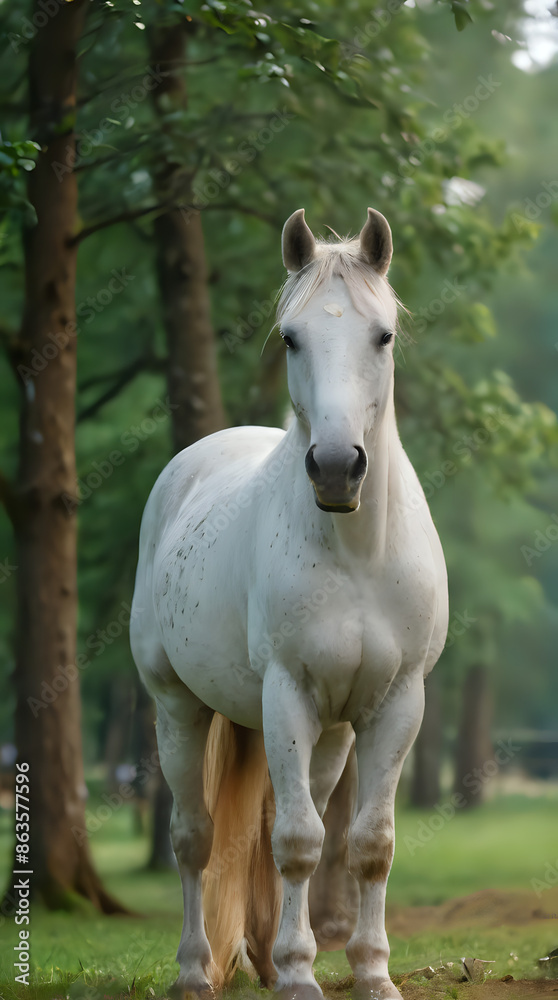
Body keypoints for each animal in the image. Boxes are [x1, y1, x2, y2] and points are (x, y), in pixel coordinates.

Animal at [130, 207, 449, 1000]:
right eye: (291, 337)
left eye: (383, 336)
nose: (336, 467)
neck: (357, 552)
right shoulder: (286, 694)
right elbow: (300, 840)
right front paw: (305, 977)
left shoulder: (397, 703)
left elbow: (367, 843)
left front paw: (370, 973)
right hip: (178, 708)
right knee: (195, 838)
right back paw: (196, 970)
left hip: (329, 735)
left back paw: (270, 959)